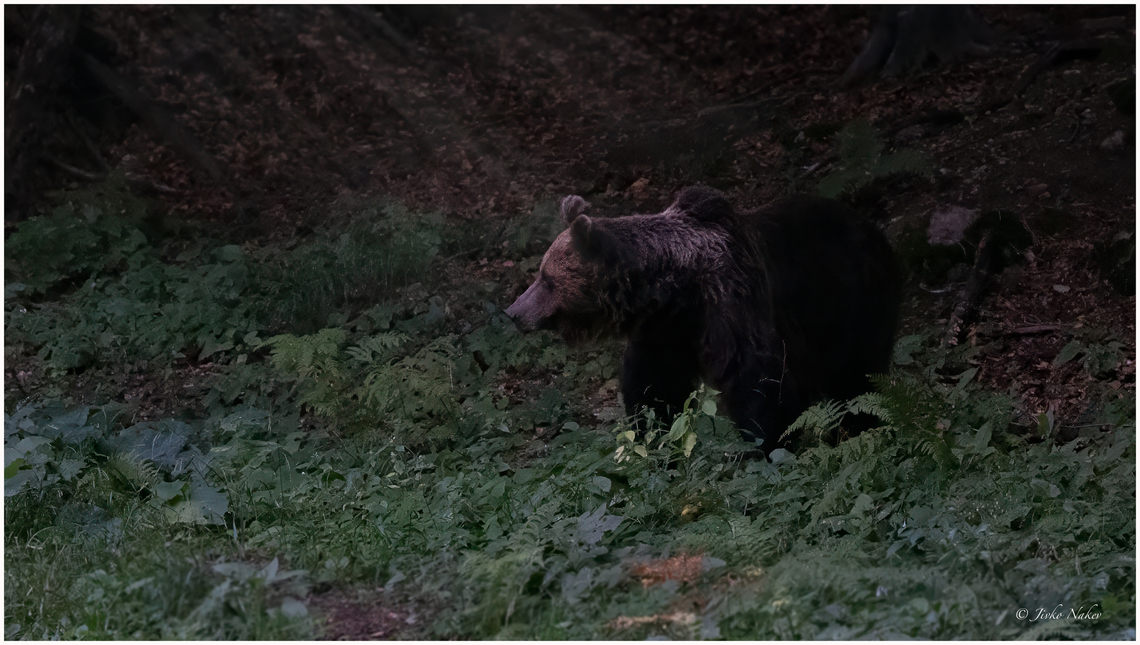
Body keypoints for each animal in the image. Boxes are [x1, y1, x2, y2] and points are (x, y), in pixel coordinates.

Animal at [505, 186, 901, 453]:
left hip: (853, 304)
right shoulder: (666, 331)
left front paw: (766, 443)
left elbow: (759, 382)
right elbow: (654, 386)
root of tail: (875, 230)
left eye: (546, 279)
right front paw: (652, 436)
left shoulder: (733, 305)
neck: (678, 288)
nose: (513, 312)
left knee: (858, 379)